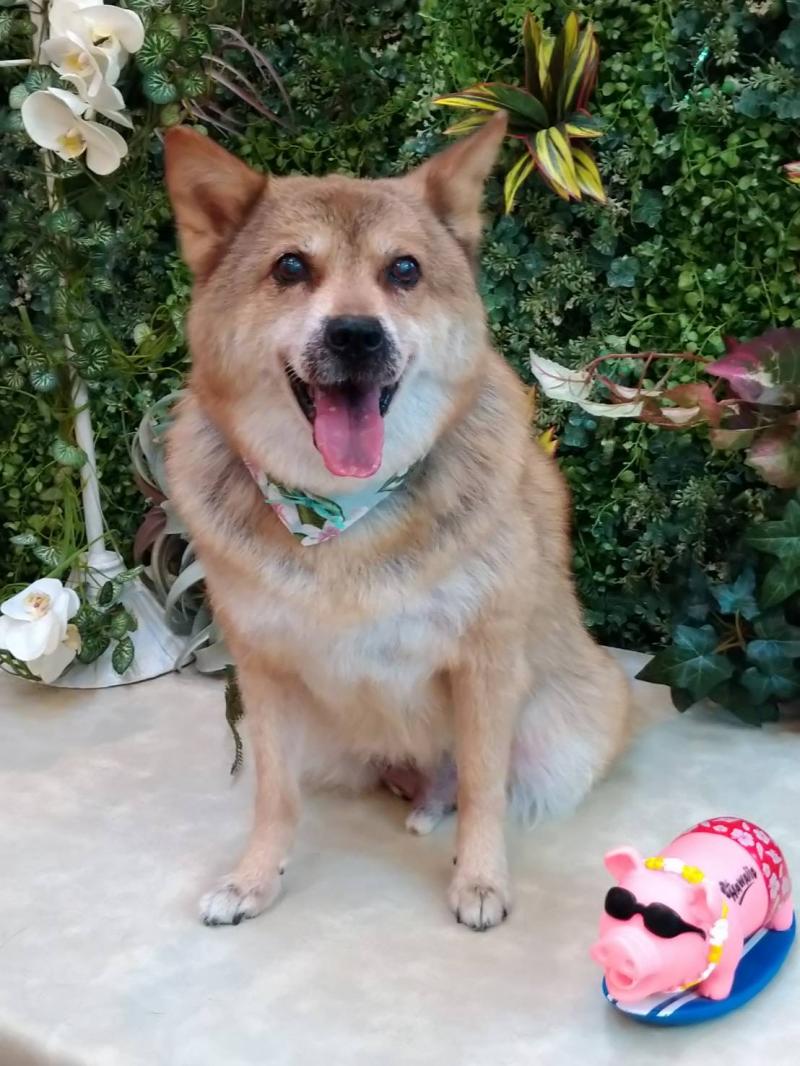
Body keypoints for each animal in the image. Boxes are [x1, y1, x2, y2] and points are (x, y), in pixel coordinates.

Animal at [164, 112, 630, 931]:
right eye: (291, 267)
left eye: (404, 270)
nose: (356, 334)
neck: (339, 511)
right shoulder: (264, 670)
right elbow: (273, 795)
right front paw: (255, 880)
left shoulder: (484, 665)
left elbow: (484, 788)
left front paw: (480, 881)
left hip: (568, 724)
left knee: (474, 779)